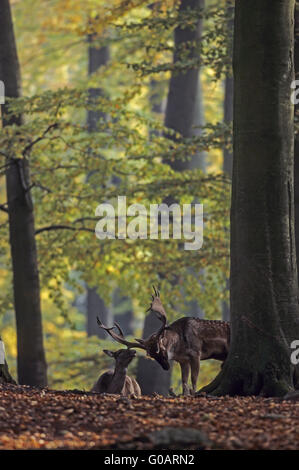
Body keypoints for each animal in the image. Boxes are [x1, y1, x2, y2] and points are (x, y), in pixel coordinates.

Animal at [97, 288, 231, 394]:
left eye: (160, 348)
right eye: (150, 354)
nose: (166, 367)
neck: (180, 346)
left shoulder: (196, 353)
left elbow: (193, 380)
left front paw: (194, 394)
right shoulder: (183, 360)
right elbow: (184, 382)